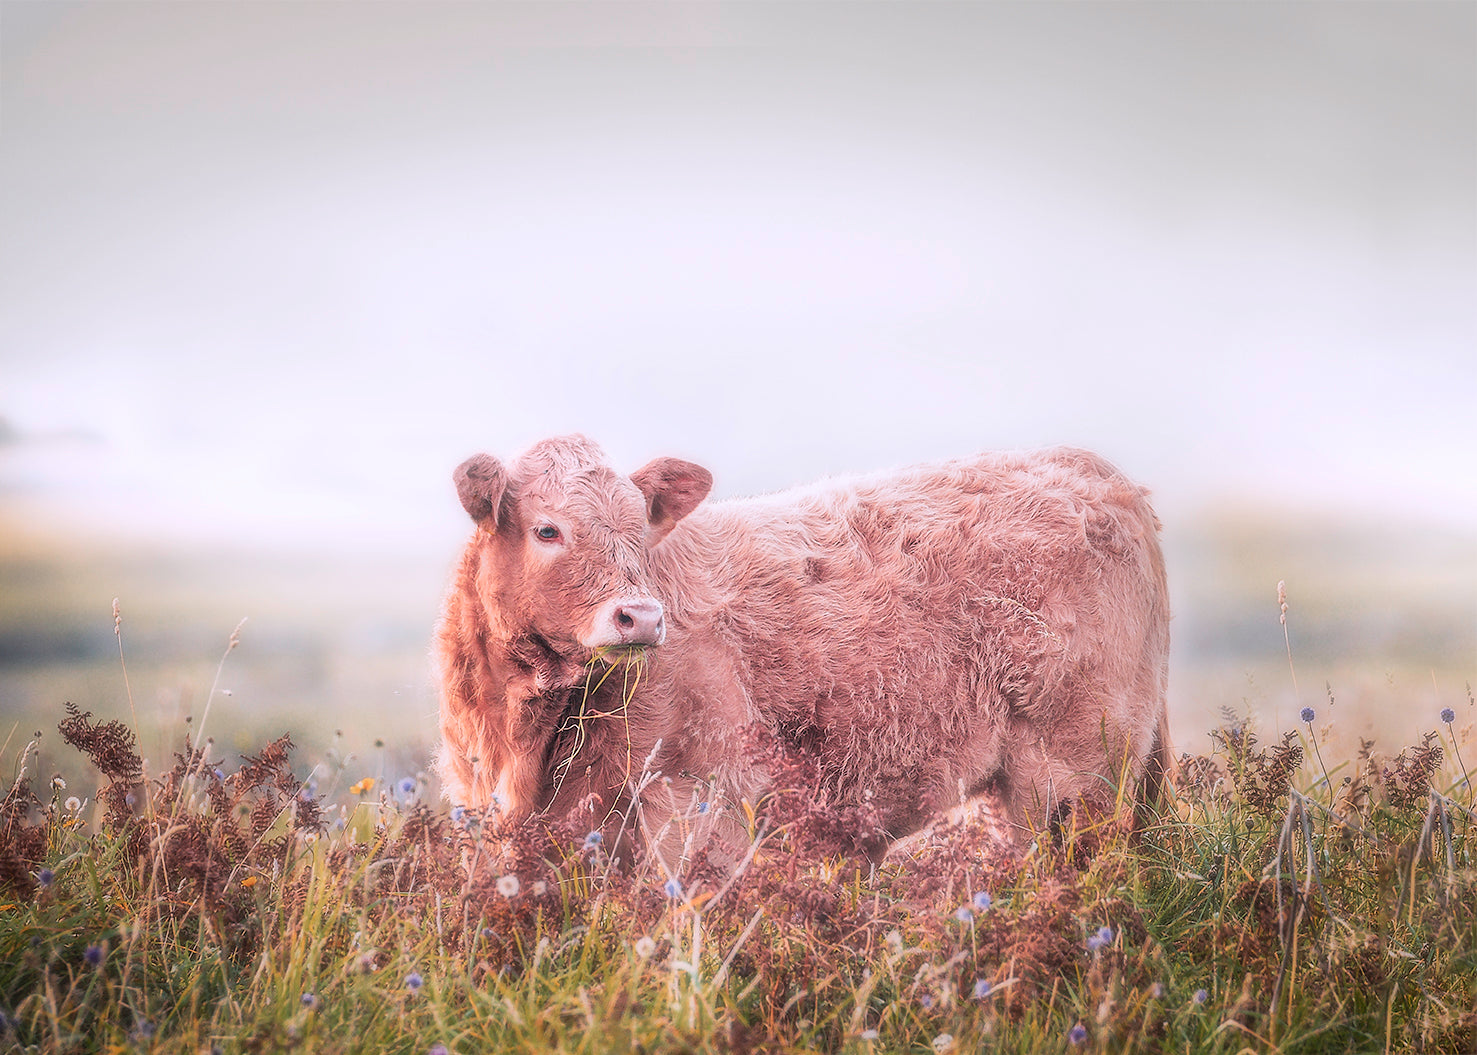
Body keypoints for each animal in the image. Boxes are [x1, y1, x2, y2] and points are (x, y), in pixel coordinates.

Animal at [434, 435, 1170, 868]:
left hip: (1076, 775)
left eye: (640, 532)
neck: (522, 738)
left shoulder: (699, 796)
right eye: (547, 529)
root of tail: (1098, 473)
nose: (640, 616)